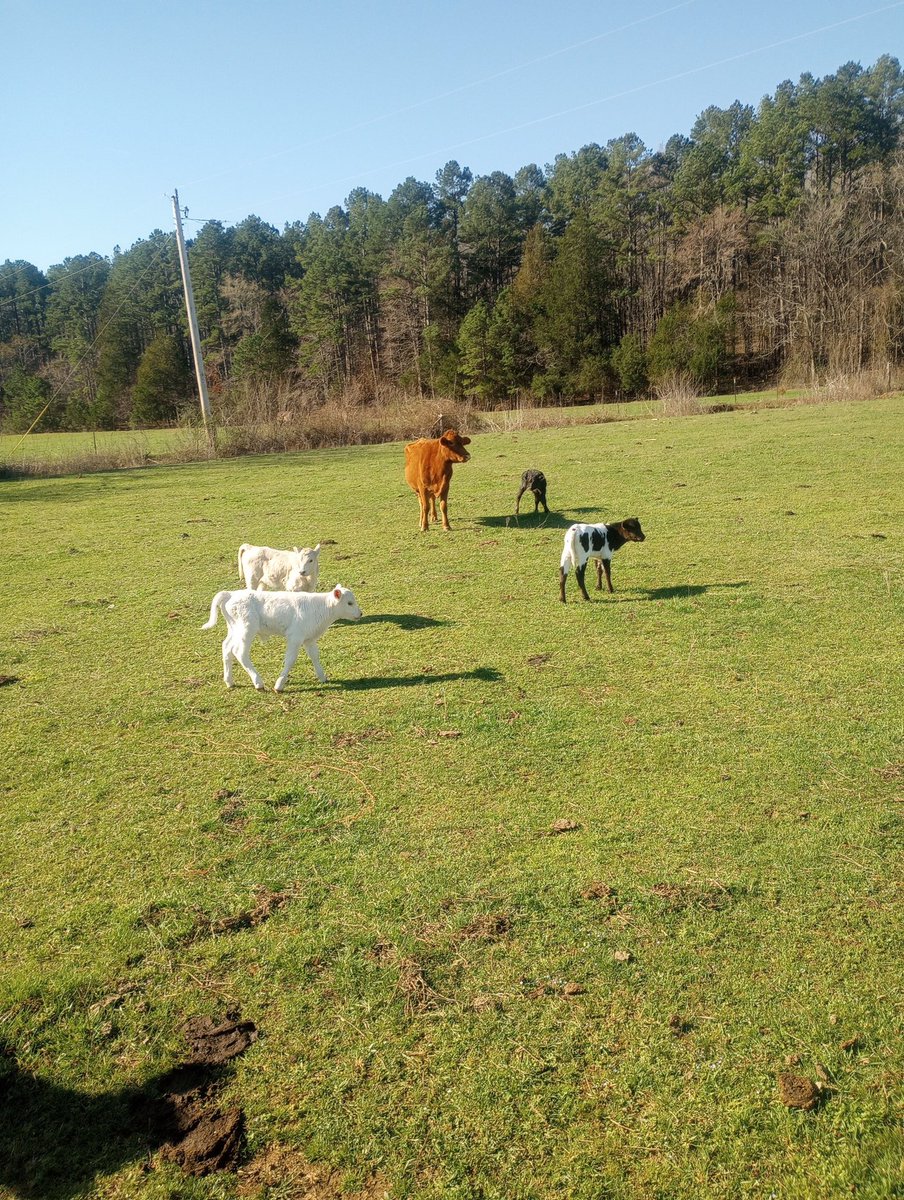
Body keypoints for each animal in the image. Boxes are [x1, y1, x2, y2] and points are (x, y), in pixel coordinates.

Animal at [202, 585, 362, 692]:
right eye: (349, 603)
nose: (360, 613)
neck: (320, 608)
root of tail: (230, 594)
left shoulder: (309, 639)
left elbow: (315, 656)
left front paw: (322, 677)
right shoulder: (295, 637)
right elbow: (290, 660)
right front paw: (279, 685)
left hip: (234, 629)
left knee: (226, 647)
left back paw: (229, 681)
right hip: (247, 629)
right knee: (239, 652)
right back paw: (258, 682)